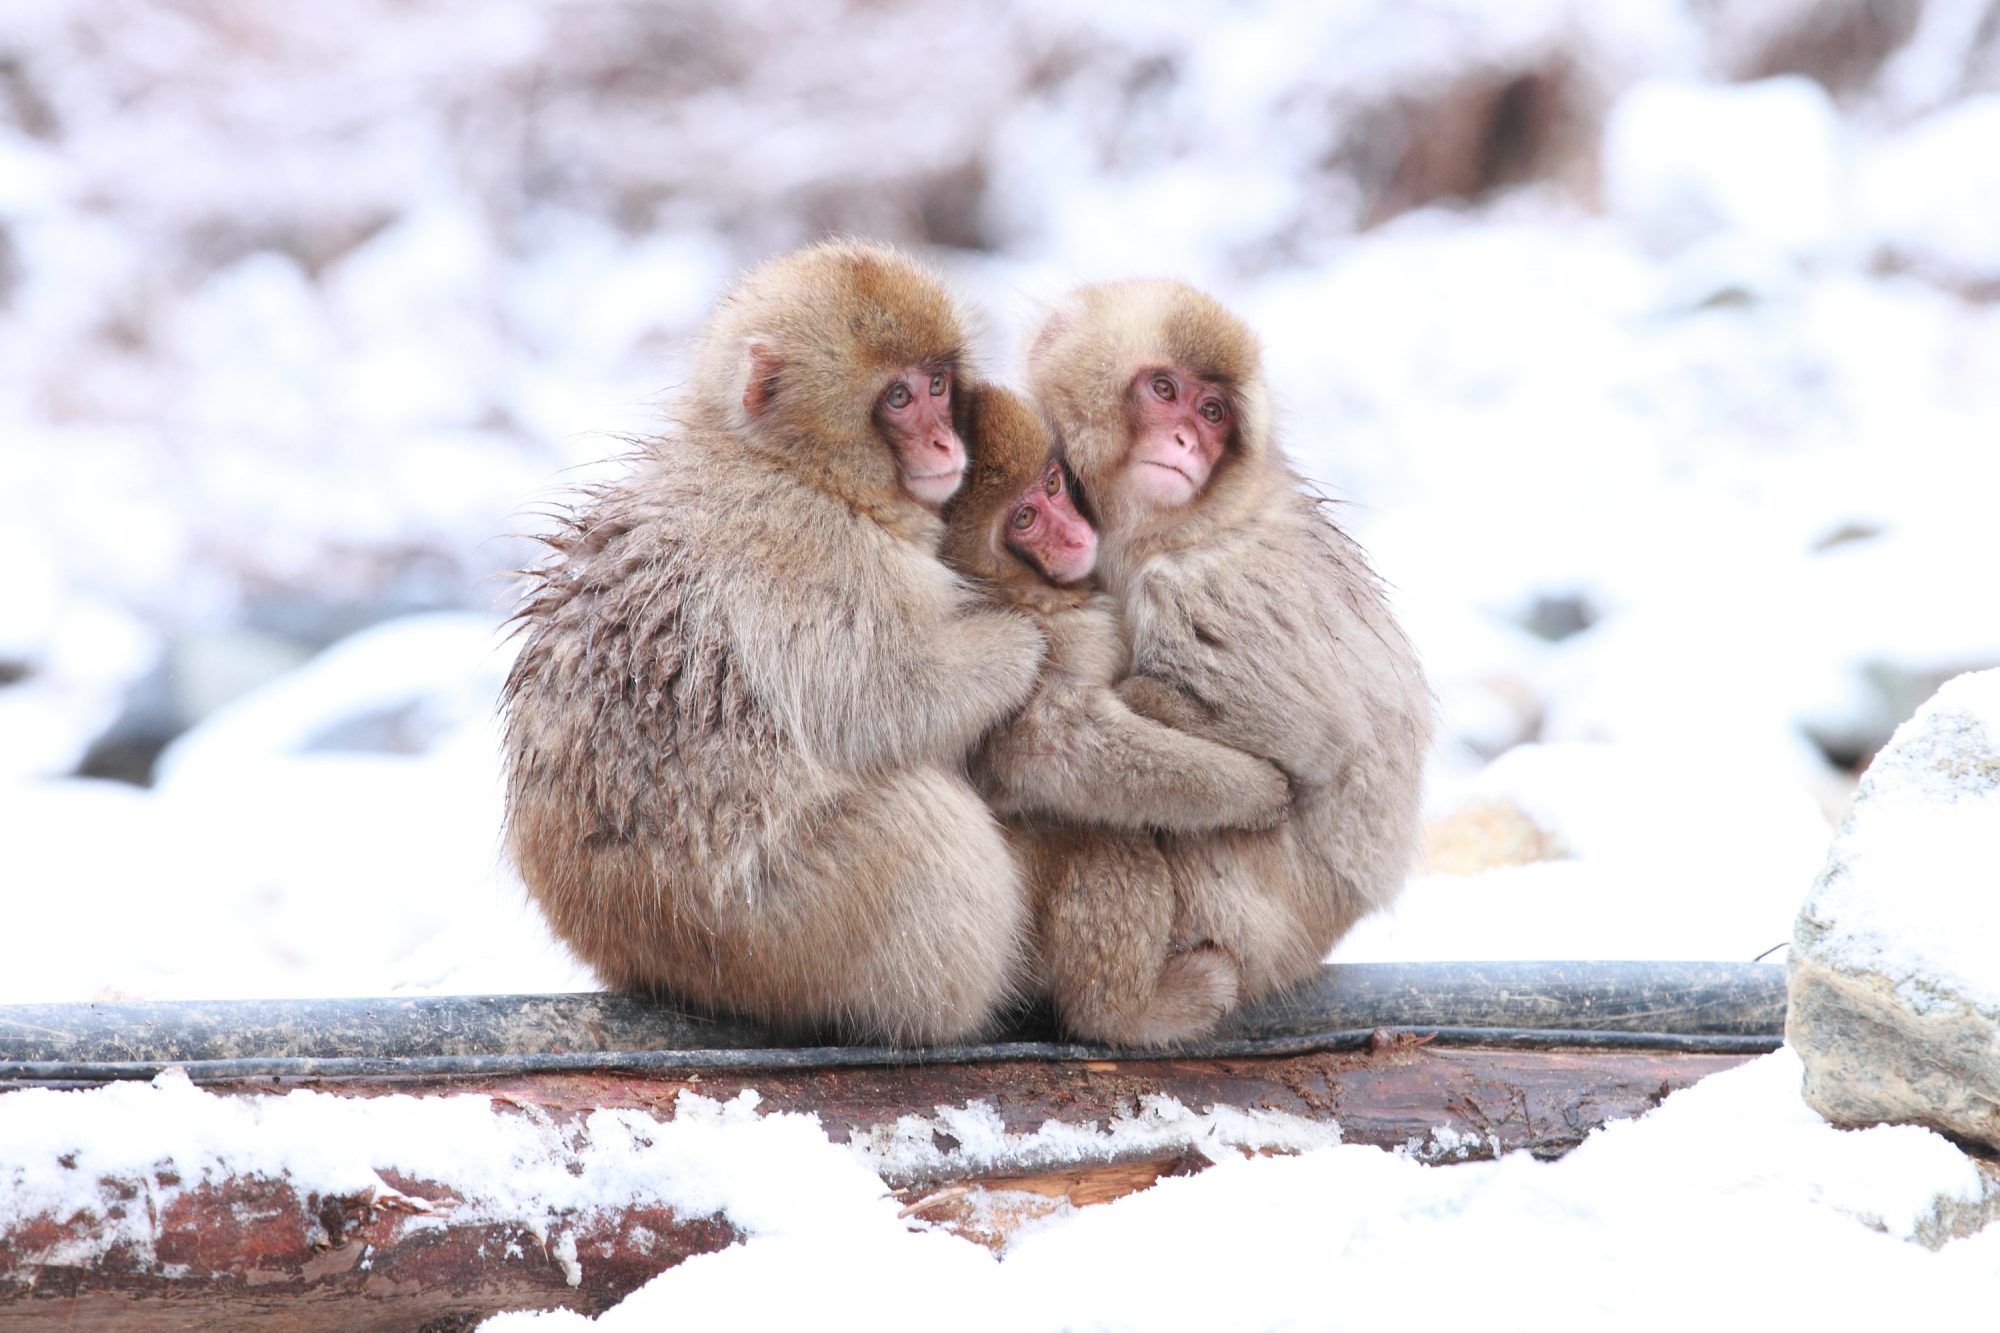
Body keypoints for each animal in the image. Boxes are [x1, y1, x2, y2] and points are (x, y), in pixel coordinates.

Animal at [500, 244, 1048, 1040]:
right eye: (899, 398)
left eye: (939, 384)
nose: (946, 442)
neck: (790, 466)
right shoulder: (811, 551)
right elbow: (880, 703)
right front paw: (1019, 645)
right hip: (776, 926)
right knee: (929, 832)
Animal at [940, 378, 1288, 1040]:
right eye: (1024, 519)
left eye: (1053, 485)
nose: (1073, 534)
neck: (1024, 589)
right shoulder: (1044, 640)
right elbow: (1055, 741)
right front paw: (1255, 790)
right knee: (1100, 838)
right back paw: (1128, 1013)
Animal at [1024, 280, 1432, 1024]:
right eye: (1164, 389)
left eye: (1212, 413)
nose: (1186, 439)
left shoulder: (1207, 583)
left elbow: (1308, 742)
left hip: (1255, 919)